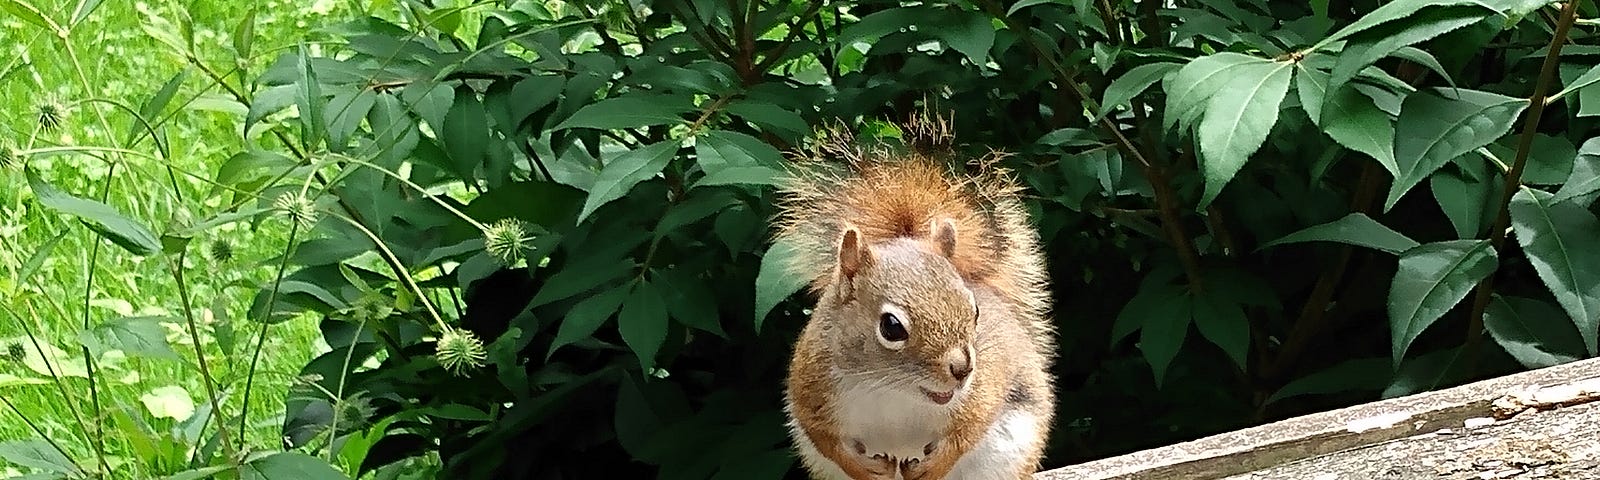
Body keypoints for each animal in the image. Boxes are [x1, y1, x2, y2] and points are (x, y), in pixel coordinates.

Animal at [771, 113, 1056, 480]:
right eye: (891, 327)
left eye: (975, 311)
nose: (963, 369)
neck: (892, 388)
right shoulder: (811, 389)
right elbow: (826, 440)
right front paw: (867, 469)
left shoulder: (985, 383)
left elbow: (968, 429)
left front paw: (931, 467)